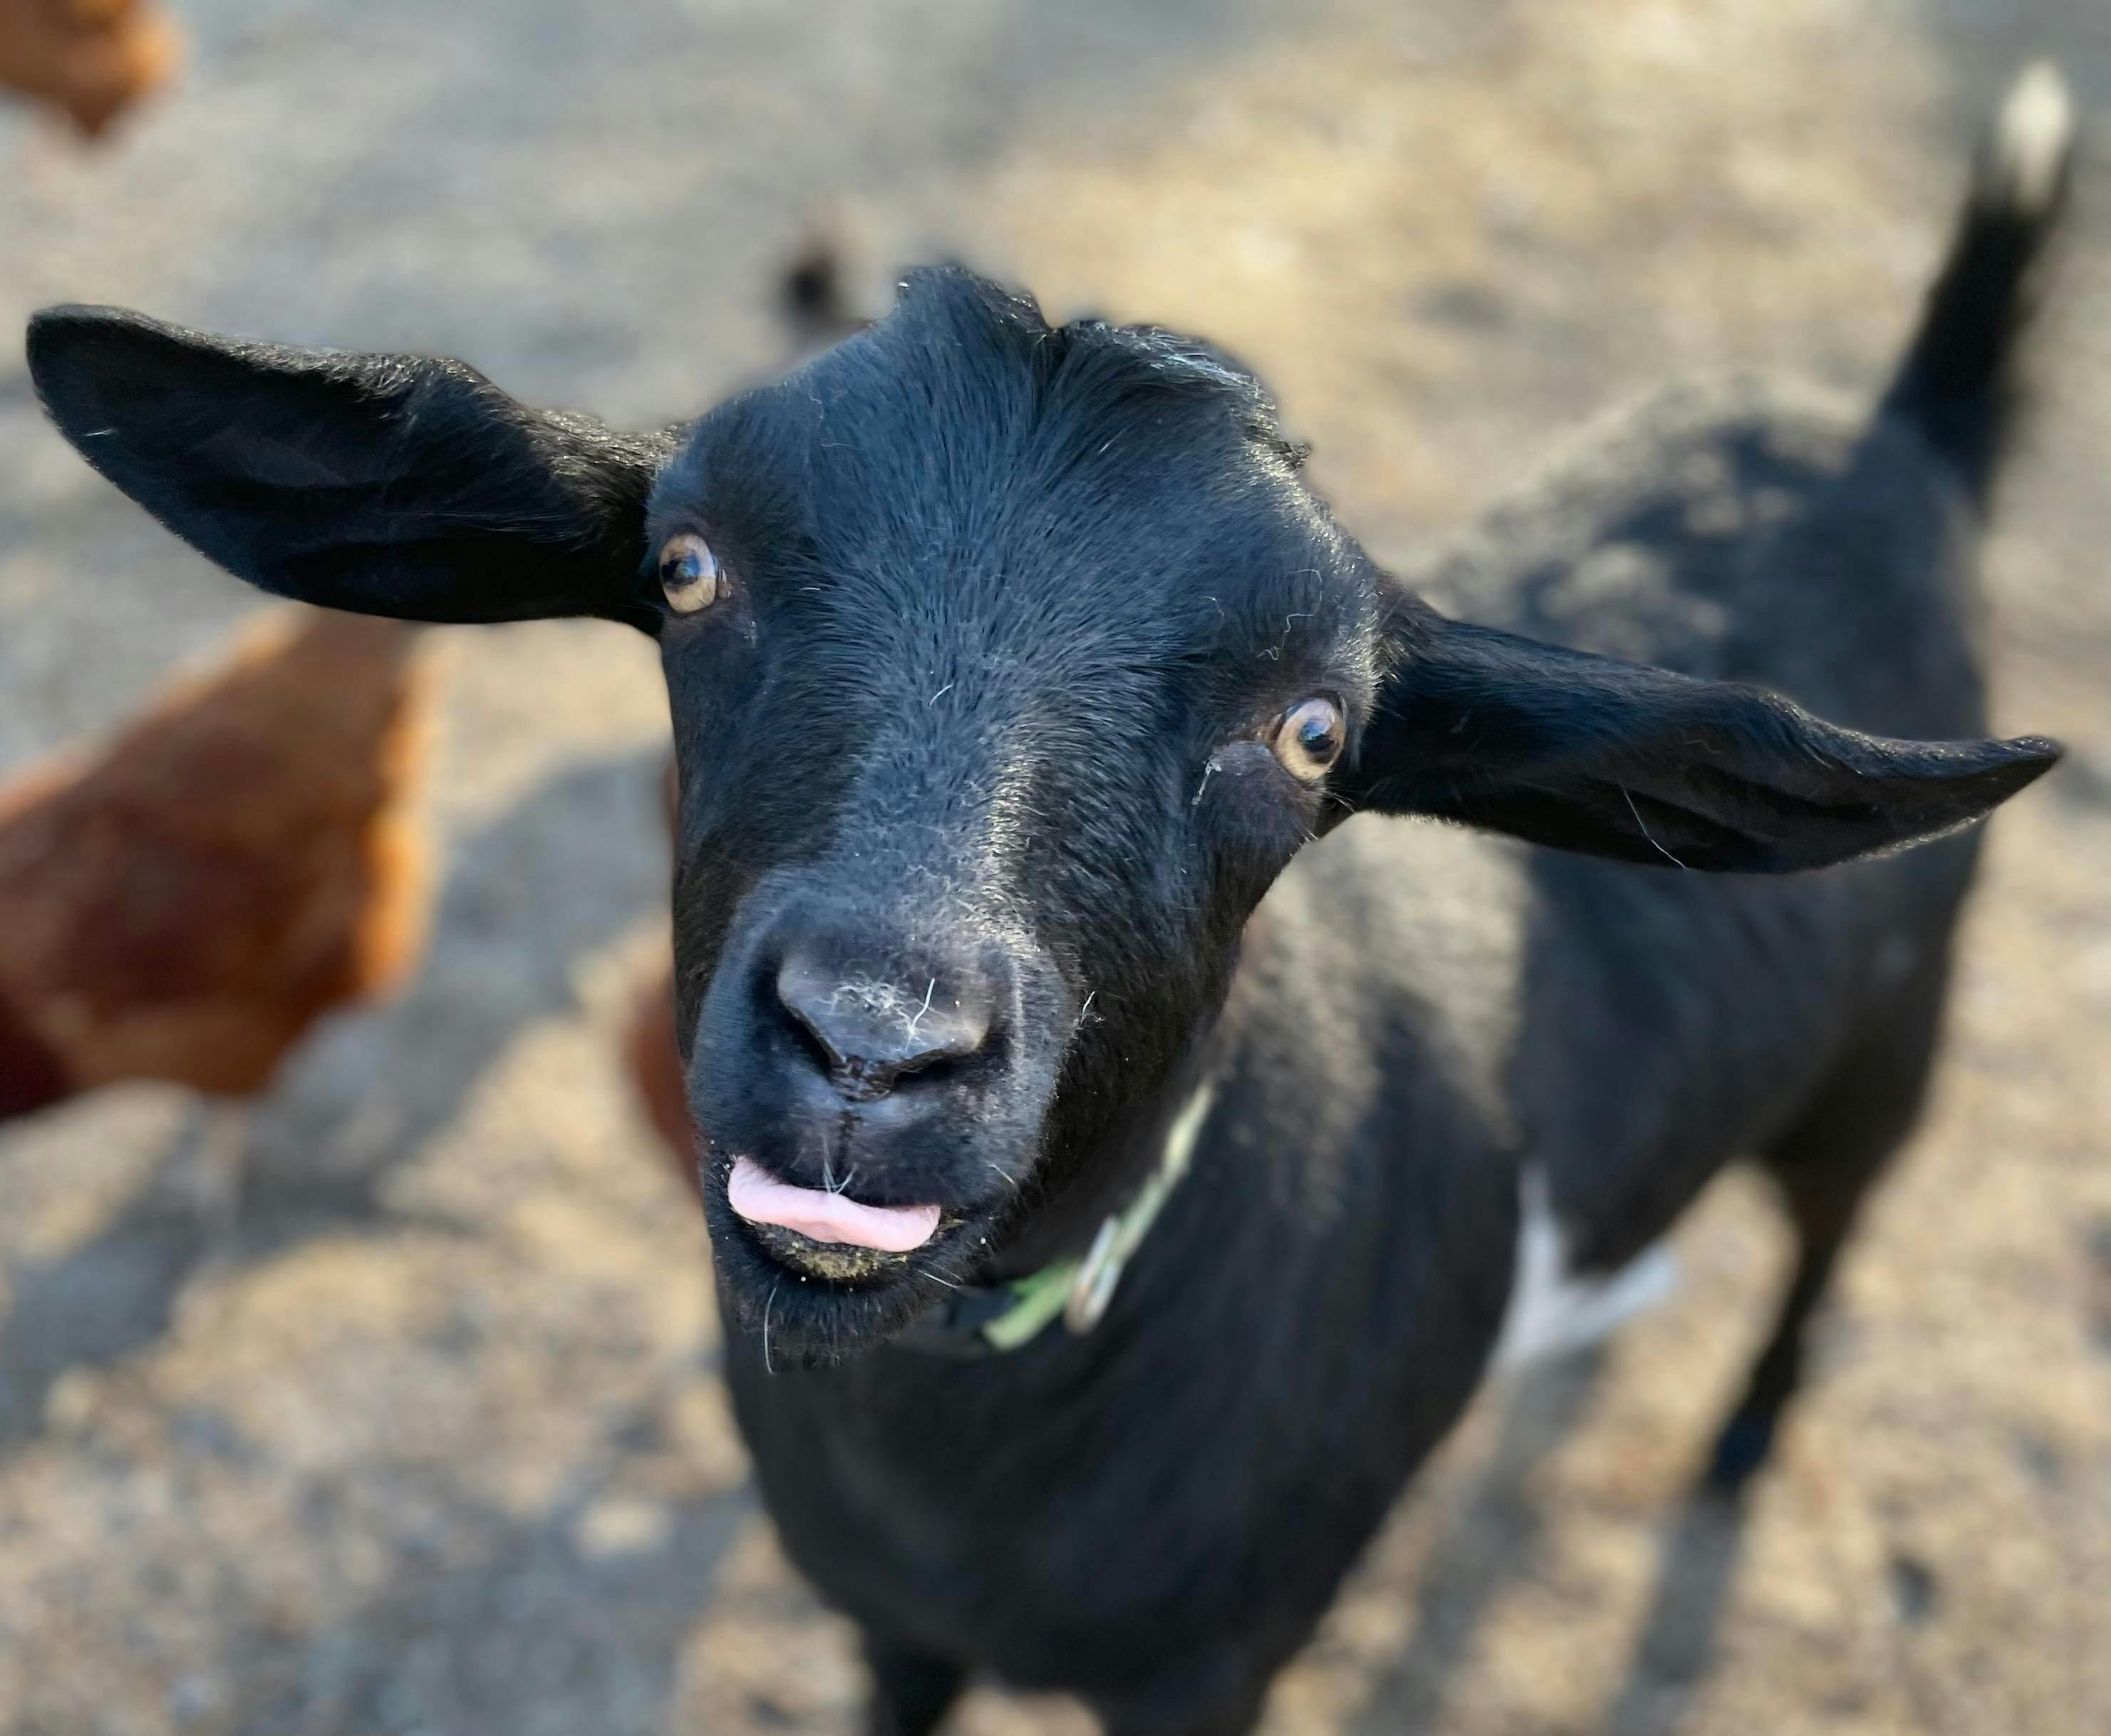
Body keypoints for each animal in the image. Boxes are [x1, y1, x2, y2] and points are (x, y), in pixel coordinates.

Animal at [24, 66, 2074, 1736]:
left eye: (1313, 732)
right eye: (682, 569)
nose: (873, 1042)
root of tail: (1902, 428)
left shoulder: (1213, 1668)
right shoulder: (886, 1625)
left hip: (1892, 1037)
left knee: (1832, 1223)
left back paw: (1739, 1439)